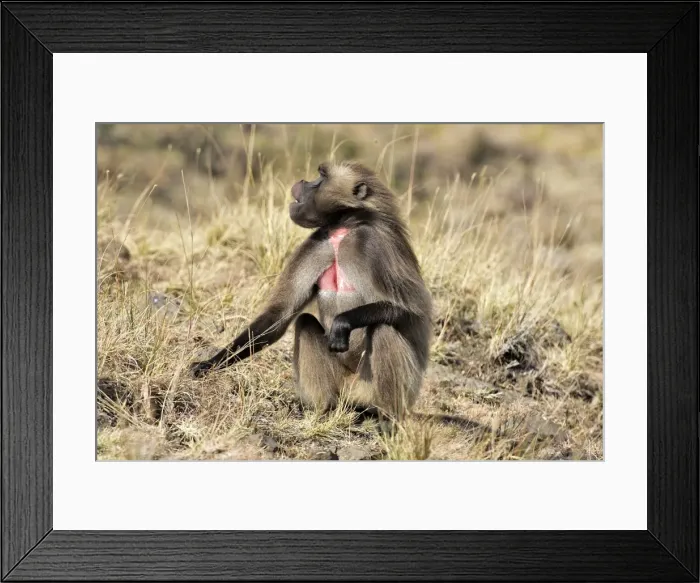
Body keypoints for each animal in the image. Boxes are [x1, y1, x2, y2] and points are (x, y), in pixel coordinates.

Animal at [190, 161, 433, 422]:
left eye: (321, 177)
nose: (302, 183)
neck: (342, 230)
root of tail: (353, 396)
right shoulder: (318, 243)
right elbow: (279, 315)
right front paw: (210, 363)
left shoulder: (375, 244)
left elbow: (413, 310)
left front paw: (343, 323)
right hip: (340, 386)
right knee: (305, 322)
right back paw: (321, 410)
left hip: (388, 389)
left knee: (383, 328)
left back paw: (388, 420)